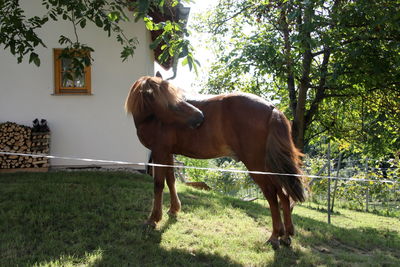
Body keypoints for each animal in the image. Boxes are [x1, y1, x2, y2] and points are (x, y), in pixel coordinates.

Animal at [125, 75, 306, 249]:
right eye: (171, 102)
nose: (200, 117)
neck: (152, 117)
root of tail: (271, 108)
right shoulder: (167, 153)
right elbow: (171, 180)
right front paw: (174, 209)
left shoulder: (159, 152)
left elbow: (158, 185)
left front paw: (153, 219)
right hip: (270, 166)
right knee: (283, 195)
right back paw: (286, 235)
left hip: (258, 167)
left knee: (272, 195)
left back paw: (275, 236)